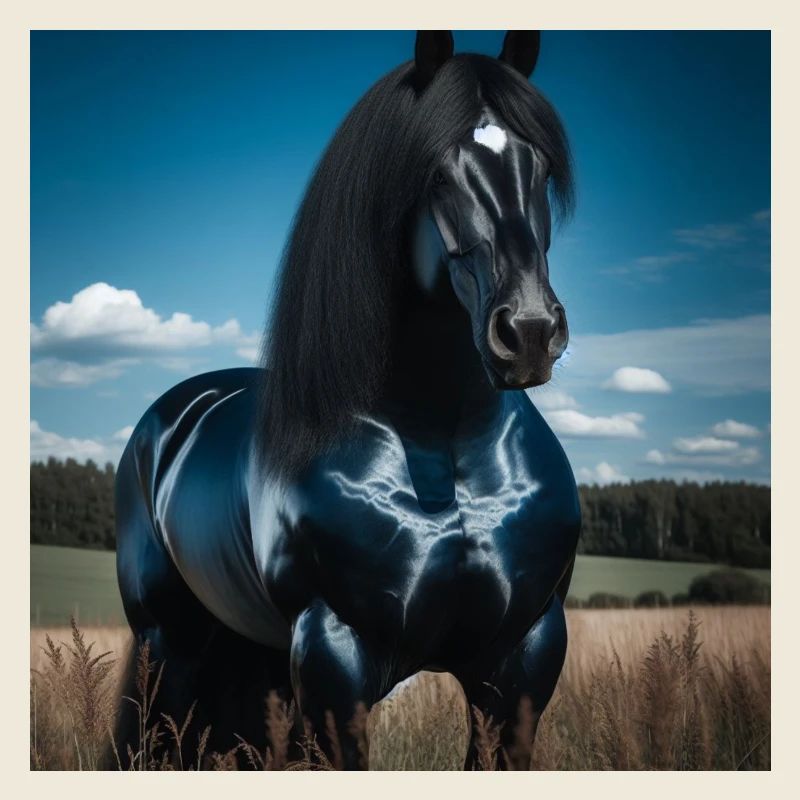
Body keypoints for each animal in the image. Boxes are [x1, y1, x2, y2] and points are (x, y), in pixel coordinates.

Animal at [113, 30, 580, 770]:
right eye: (436, 171)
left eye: (537, 166)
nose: (530, 331)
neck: (447, 448)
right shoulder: (336, 657)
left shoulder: (524, 658)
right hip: (169, 649)